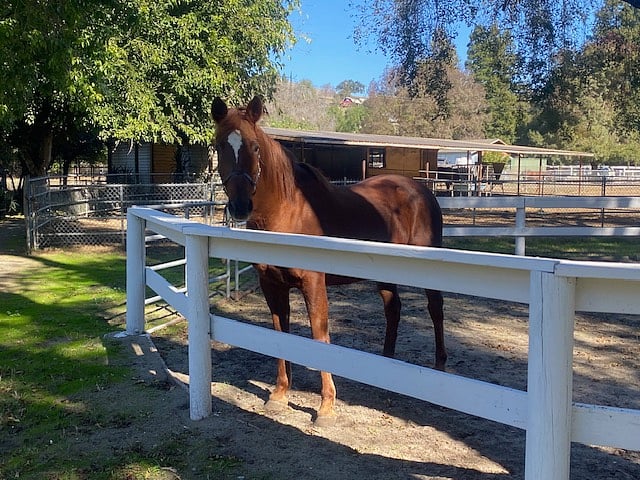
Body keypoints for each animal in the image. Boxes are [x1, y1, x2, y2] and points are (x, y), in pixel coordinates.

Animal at [212, 96, 446, 426]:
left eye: (255, 147)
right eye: (220, 145)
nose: (241, 206)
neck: (288, 210)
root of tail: (422, 189)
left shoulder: (313, 283)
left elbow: (319, 336)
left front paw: (326, 407)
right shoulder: (272, 285)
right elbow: (279, 332)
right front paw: (279, 395)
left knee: (435, 309)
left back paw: (440, 367)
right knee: (393, 309)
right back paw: (386, 367)